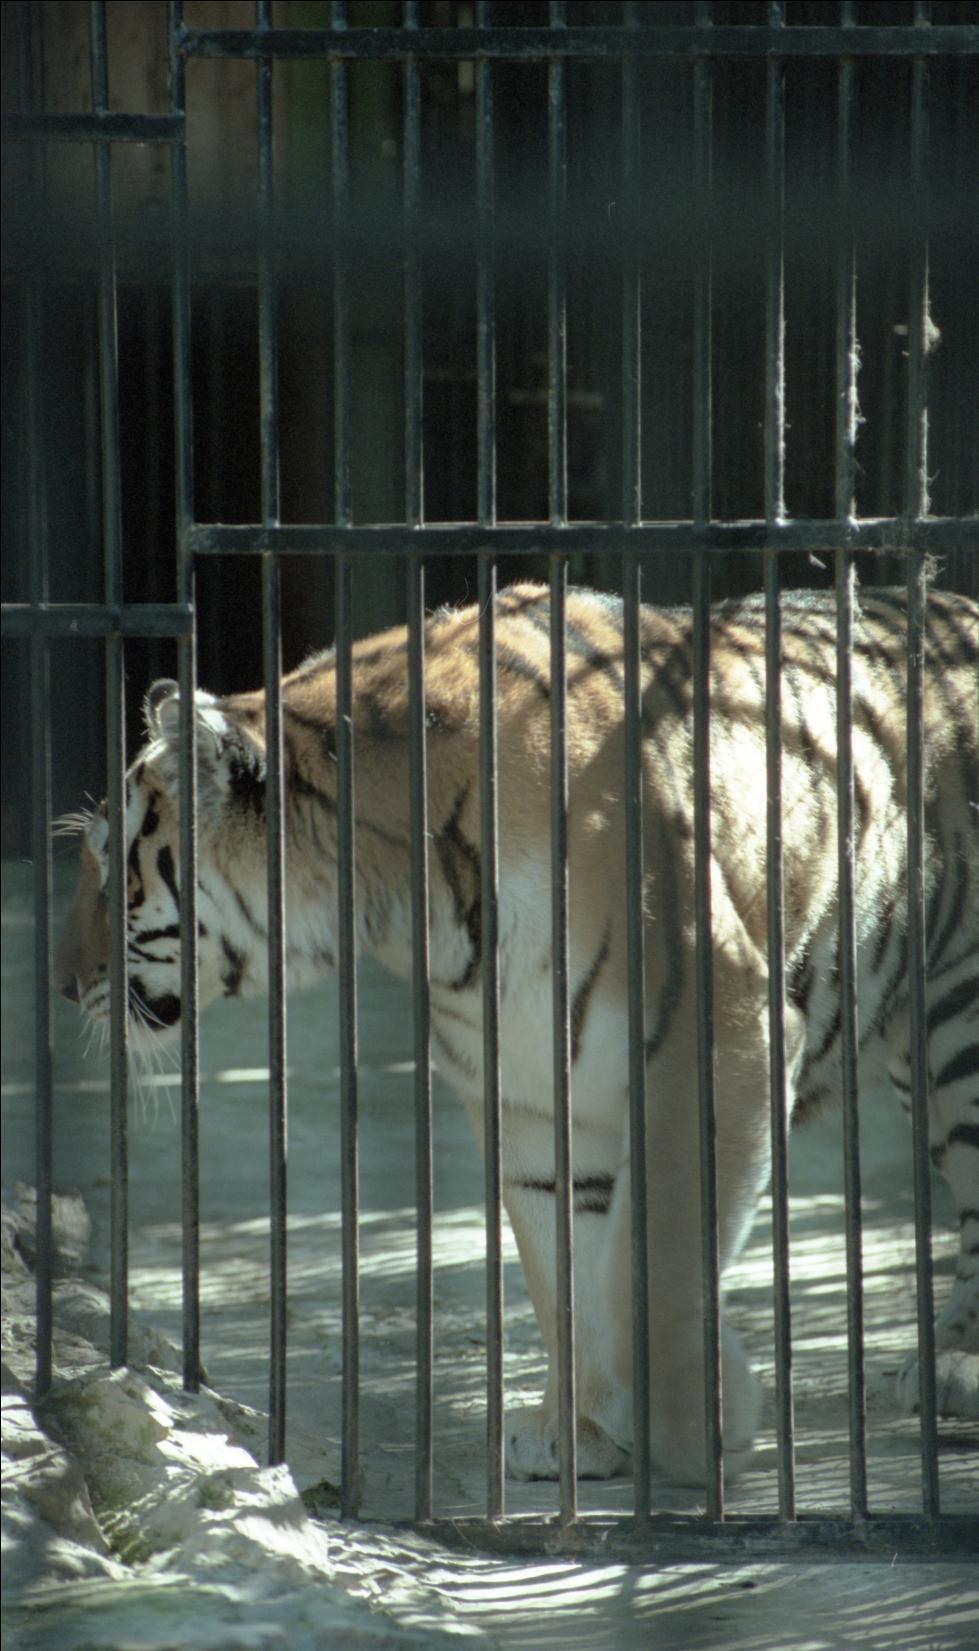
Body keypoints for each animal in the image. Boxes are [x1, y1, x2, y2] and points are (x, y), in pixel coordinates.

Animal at [55, 580, 979, 1485]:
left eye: (115, 867)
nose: (65, 985)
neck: (407, 902)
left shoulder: (716, 1038)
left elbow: (654, 1261)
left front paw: (691, 1428)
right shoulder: (527, 1089)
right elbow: (567, 1270)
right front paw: (584, 1429)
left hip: (956, 1028)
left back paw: (956, 1366)